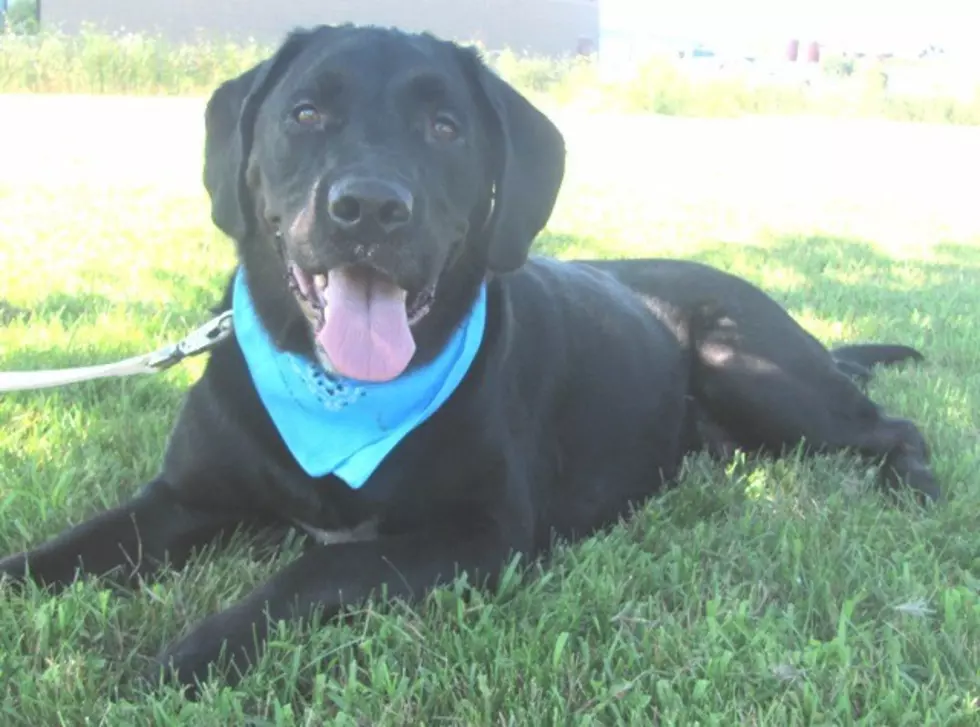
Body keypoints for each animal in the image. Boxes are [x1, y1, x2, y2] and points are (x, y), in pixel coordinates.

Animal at [0, 24, 936, 692]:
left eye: (444, 127)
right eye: (305, 114)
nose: (369, 207)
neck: (336, 397)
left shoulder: (481, 533)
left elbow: (321, 564)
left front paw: (192, 652)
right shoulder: (181, 498)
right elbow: (65, 552)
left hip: (752, 368)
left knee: (897, 425)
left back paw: (914, 489)